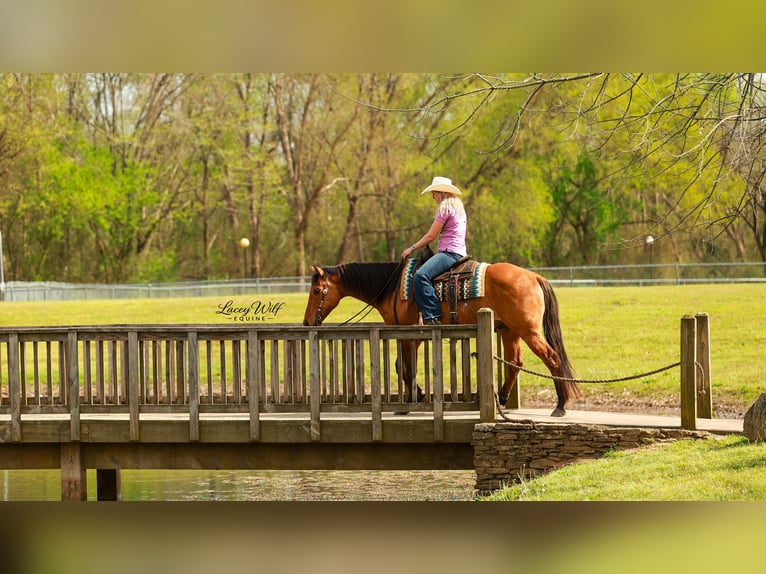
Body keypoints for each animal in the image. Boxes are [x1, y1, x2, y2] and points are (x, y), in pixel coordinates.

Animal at [302, 254, 581, 417]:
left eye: (316, 290)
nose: (306, 322)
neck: (394, 288)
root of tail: (533, 276)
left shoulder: (411, 334)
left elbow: (405, 368)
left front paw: (410, 403)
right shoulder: (407, 335)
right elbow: (402, 366)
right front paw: (418, 395)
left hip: (528, 331)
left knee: (551, 358)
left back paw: (560, 405)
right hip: (508, 330)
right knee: (515, 363)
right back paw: (501, 399)